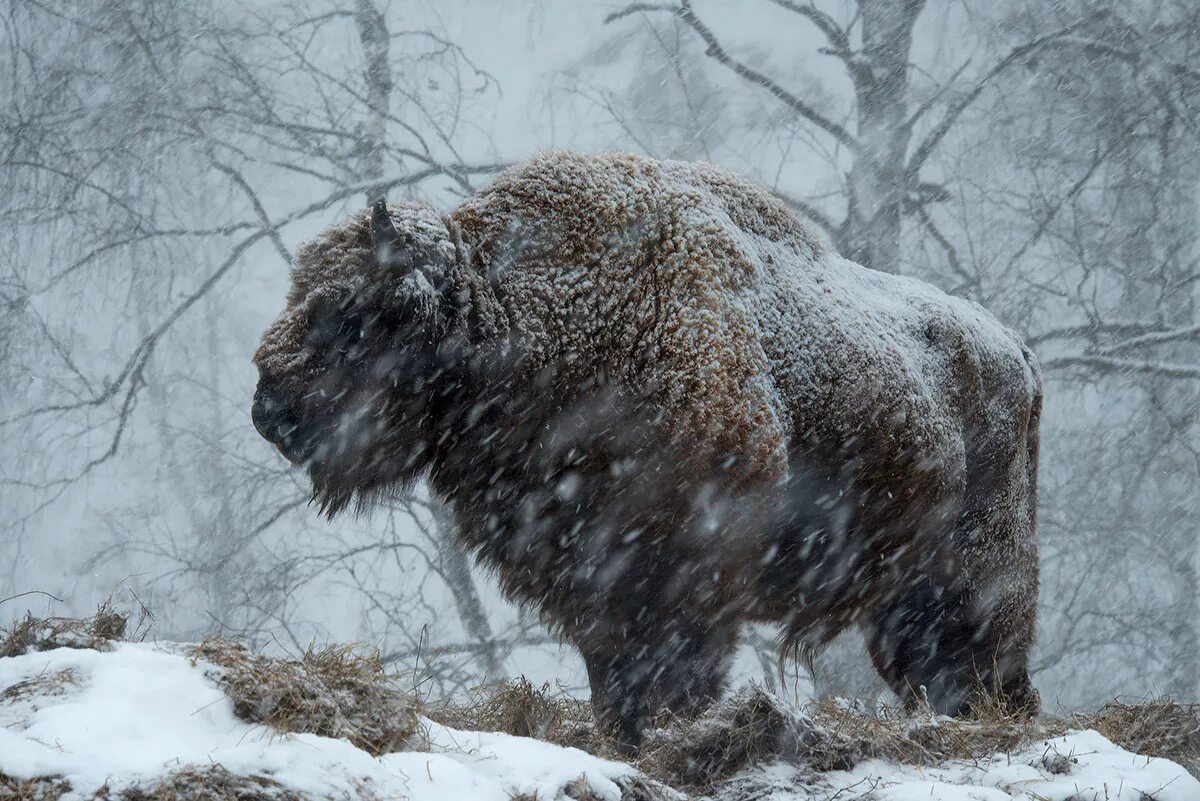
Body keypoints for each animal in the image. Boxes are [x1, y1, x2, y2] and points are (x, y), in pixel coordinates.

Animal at [253, 149, 1041, 753]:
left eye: (351, 310)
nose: (269, 411)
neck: (518, 318)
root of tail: (1016, 353)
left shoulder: (680, 576)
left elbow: (669, 675)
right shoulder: (590, 577)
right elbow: (613, 677)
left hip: (974, 576)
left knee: (980, 665)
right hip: (904, 594)